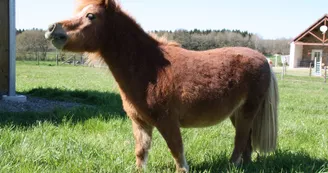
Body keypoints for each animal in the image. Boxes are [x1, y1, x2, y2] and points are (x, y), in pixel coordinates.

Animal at [44, 1, 278, 172]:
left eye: (90, 16)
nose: (51, 29)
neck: (150, 68)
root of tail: (264, 60)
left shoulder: (167, 121)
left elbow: (177, 151)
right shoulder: (140, 122)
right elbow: (141, 151)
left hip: (247, 110)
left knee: (240, 140)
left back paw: (233, 165)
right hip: (237, 113)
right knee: (246, 141)